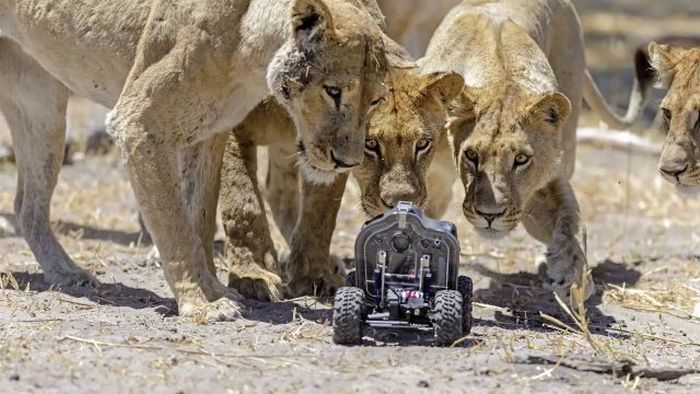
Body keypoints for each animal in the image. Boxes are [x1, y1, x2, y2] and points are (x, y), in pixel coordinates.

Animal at [0, 0, 394, 320]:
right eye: (333, 91)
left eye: (375, 100)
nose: (346, 162)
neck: (250, 53)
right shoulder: (137, 124)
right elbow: (175, 225)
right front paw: (203, 304)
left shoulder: (207, 135)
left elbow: (199, 220)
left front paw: (214, 289)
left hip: (42, 106)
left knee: (27, 207)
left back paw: (67, 273)